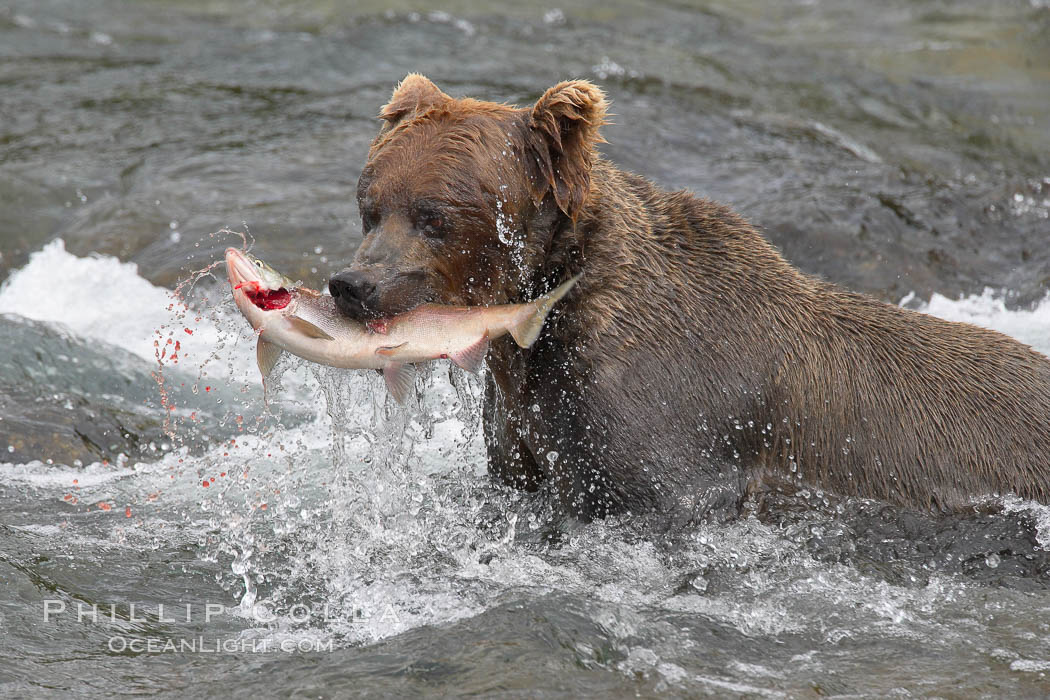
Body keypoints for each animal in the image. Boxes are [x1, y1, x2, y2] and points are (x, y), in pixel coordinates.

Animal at [327, 76, 1050, 522]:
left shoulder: (663, 425)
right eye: (370, 206)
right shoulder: (523, 422)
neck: (549, 320)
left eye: (435, 217)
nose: (353, 286)